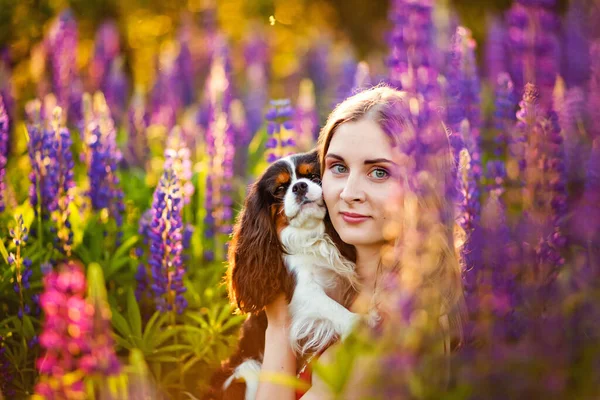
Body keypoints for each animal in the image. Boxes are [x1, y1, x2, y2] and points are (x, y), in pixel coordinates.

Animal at [204, 149, 358, 400]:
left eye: (313, 176)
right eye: (279, 189)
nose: (300, 187)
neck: (309, 234)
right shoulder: (301, 292)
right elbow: (330, 306)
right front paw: (360, 321)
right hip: (247, 369)